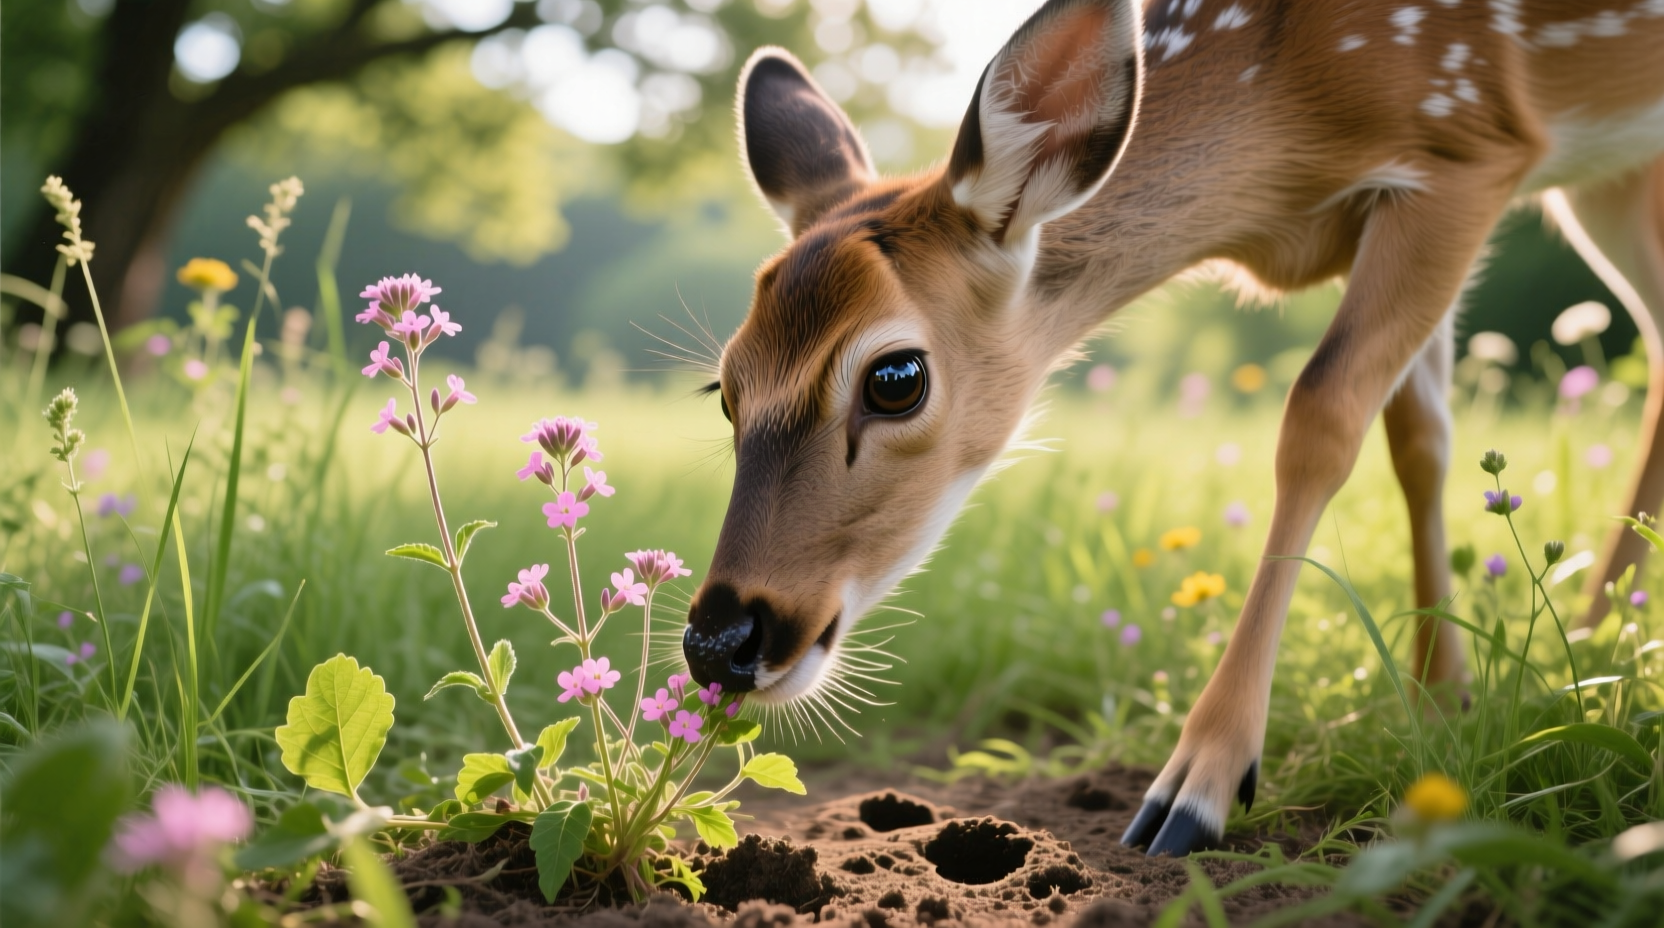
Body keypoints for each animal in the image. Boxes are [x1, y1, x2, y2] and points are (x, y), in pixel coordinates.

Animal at [677, 0, 1664, 856]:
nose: (719, 644)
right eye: (725, 389)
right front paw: (1442, 699)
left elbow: (1321, 415)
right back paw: (1600, 642)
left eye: (895, 378)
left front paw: (1198, 785)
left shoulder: (1465, 145)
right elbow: (1420, 437)